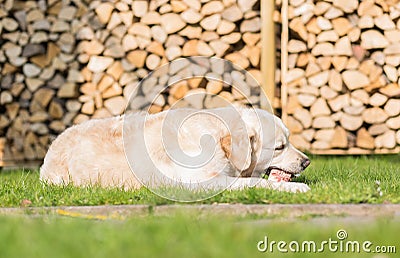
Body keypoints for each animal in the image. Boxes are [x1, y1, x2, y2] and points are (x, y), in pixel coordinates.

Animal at [39, 106, 310, 192]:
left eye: (290, 140)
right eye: (279, 147)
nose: (307, 161)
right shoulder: (201, 182)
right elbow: (257, 182)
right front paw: (296, 188)